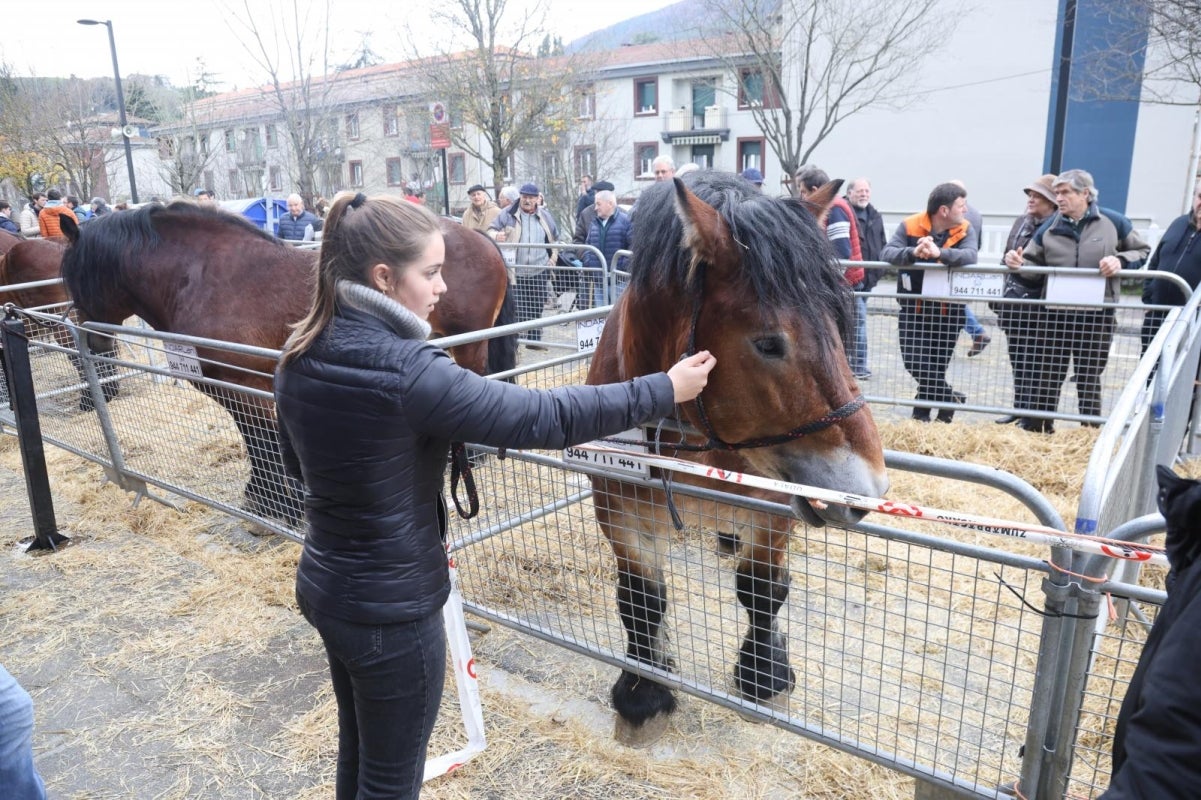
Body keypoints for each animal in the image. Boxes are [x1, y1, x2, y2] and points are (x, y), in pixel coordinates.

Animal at [59, 203, 516, 521]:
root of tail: (481, 239)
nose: (91, 341)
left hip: (469, 343)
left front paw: (275, 504)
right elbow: (256, 440)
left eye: (79, 278)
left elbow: (259, 441)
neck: (199, 277)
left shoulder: (244, 384)